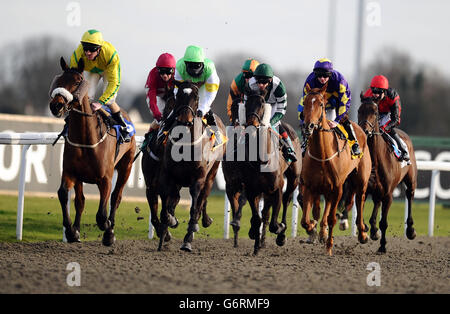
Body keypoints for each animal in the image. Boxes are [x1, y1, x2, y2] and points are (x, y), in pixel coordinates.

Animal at [49, 57, 136, 247]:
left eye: (77, 81)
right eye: (58, 80)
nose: (56, 105)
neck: (86, 140)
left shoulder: (105, 179)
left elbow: (102, 215)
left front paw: (108, 231)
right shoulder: (71, 173)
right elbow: (64, 195)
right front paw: (72, 232)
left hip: (126, 167)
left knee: (116, 197)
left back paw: (110, 228)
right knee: (80, 201)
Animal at [156, 81, 225, 253]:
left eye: (196, 97)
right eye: (179, 95)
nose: (184, 120)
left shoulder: (198, 180)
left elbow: (194, 208)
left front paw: (187, 240)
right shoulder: (168, 176)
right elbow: (166, 208)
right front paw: (168, 227)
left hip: (211, 174)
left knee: (202, 200)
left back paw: (199, 224)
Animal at [236, 88, 302, 255]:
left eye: (261, 104)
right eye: (247, 103)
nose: (251, 125)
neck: (261, 160)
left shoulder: (277, 188)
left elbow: (273, 223)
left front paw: (280, 229)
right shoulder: (252, 190)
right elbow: (257, 218)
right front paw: (255, 243)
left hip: (293, 179)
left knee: (286, 200)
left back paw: (282, 234)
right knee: (264, 213)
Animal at [300, 83, 370, 255]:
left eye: (321, 104)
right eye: (305, 103)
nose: (308, 126)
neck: (322, 154)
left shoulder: (338, 187)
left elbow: (332, 218)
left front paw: (329, 247)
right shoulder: (310, 186)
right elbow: (305, 219)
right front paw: (313, 228)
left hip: (361, 180)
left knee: (360, 200)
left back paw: (362, 234)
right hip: (325, 188)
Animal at [340, 95, 420, 253]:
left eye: (375, 112)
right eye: (359, 110)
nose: (364, 130)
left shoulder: (388, 194)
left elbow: (384, 222)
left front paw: (382, 246)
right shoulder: (363, 188)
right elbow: (359, 213)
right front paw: (368, 230)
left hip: (410, 180)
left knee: (410, 196)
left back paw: (410, 230)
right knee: (376, 202)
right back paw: (373, 229)